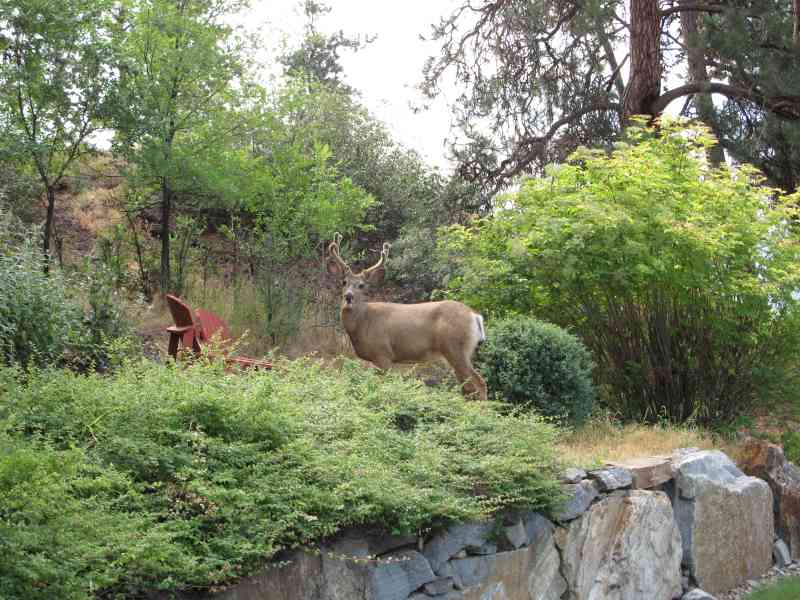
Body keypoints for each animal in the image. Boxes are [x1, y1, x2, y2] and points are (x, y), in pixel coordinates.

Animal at [326, 235, 488, 400]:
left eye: (362, 285)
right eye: (344, 282)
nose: (348, 296)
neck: (363, 322)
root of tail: (475, 316)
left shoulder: (383, 353)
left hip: (456, 348)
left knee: (479, 383)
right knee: (468, 387)